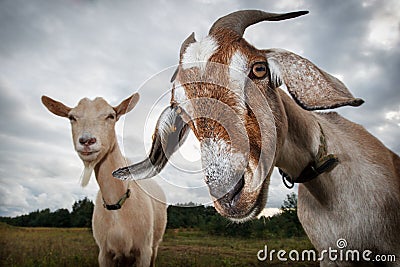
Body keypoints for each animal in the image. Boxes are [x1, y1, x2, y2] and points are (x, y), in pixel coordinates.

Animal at [43, 93, 168, 266]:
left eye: (111, 116)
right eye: (71, 117)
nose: (87, 141)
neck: (117, 204)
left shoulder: (144, 251)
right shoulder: (104, 253)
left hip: (155, 244)